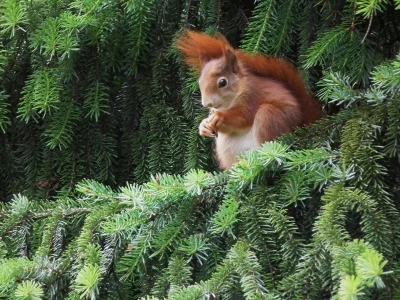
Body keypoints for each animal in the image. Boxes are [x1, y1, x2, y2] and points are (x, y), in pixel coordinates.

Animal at [177, 31, 320, 170]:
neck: (229, 103)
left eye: (223, 82)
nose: (207, 103)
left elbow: (243, 118)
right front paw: (204, 126)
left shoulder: (253, 97)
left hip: (269, 117)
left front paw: (220, 117)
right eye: (199, 82)